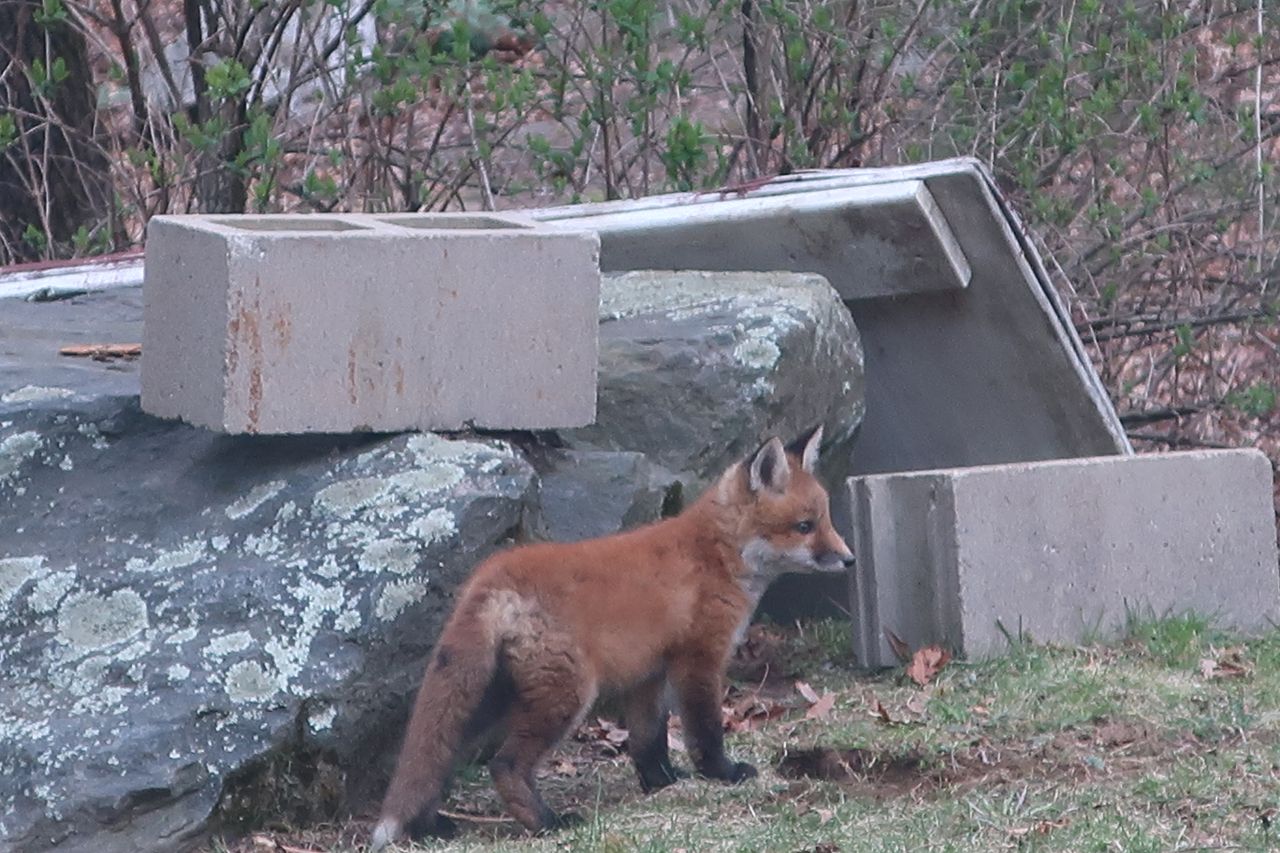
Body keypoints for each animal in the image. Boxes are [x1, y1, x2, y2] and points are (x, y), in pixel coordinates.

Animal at [371, 424, 854, 849]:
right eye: (805, 526)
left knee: (437, 759)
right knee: (504, 765)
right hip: (565, 697)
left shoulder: (649, 674)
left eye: (827, 519)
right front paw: (722, 772)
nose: (849, 560)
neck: (715, 554)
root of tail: (490, 575)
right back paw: (546, 823)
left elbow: (647, 741)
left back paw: (429, 828)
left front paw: (661, 783)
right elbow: (704, 730)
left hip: (486, 700)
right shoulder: (699, 658)